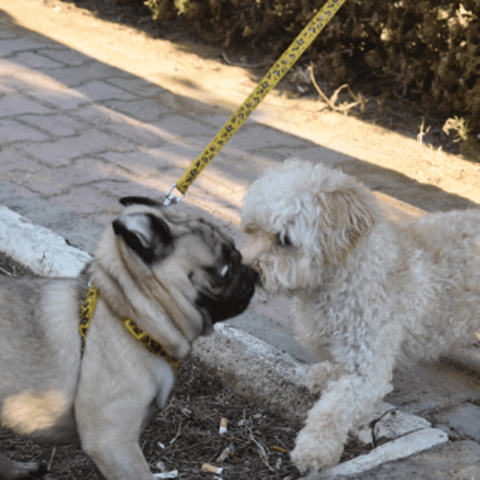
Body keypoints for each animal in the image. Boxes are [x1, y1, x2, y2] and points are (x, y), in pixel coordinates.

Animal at [242, 158, 480, 472]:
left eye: (285, 240)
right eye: (251, 229)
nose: (248, 271)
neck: (344, 273)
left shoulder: (366, 370)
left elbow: (332, 411)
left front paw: (314, 450)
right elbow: (334, 368)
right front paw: (326, 374)